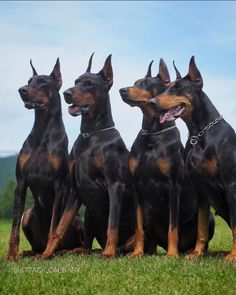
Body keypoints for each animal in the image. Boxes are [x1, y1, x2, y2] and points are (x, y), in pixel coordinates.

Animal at [5, 58, 84, 262]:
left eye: (42, 82)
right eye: (29, 80)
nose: (21, 90)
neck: (42, 128)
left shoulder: (59, 185)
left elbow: (54, 226)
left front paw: (49, 253)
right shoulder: (21, 183)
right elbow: (14, 228)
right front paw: (10, 255)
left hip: (77, 220)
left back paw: (64, 251)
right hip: (28, 215)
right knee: (33, 242)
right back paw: (29, 252)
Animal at [38, 53, 136, 260]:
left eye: (89, 83)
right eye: (76, 81)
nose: (67, 93)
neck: (91, 135)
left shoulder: (115, 185)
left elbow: (112, 224)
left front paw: (109, 253)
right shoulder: (74, 189)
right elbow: (60, 227)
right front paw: (47, 253)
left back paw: (112, 250)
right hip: (90, 212)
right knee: (88, 245)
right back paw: (75, 250)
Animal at [119, 59, 215, 256]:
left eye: (147, 83)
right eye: (135, 82)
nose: (122, 90)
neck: (153, 134)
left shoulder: (173, 186)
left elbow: (173, 226)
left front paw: (172, 254)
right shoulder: (136, 187)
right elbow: (138, 227)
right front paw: (137, 253)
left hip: (209, 218)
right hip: (150, 214)